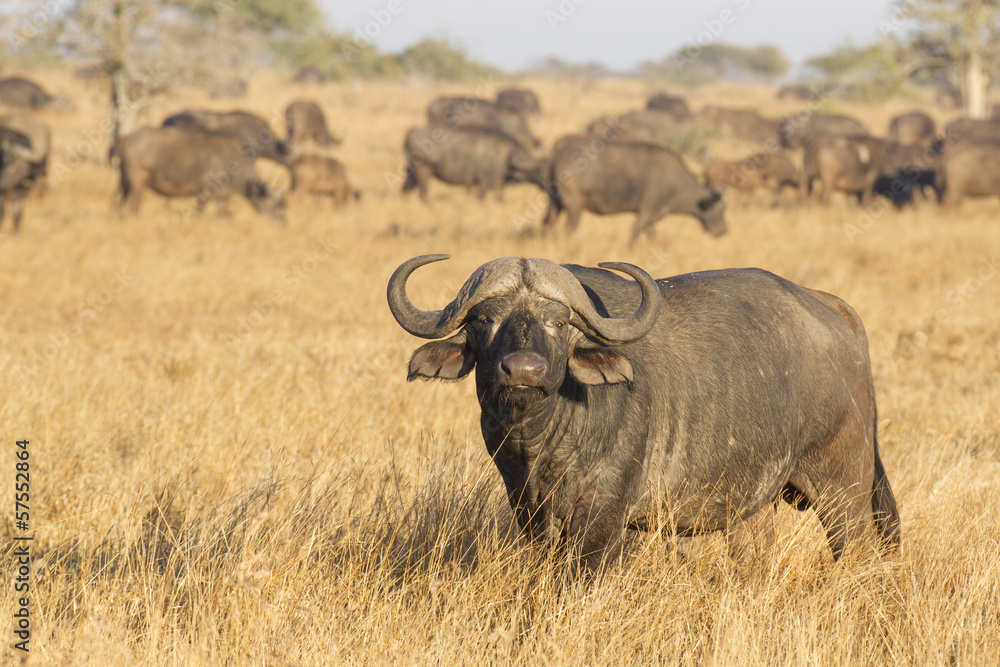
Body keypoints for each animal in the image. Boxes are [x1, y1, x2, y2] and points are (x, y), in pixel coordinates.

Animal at [117, 127, 285, 222]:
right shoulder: (204, 192)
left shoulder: (223, 197)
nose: (283, 223)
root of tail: (126, 138)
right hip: (137, 183)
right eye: (276, 205)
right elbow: (198, 211)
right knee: (135, 204)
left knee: (117, 200)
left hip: (124, 181)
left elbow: (224, 214)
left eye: (282, 205)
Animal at [388, 255, 901, 567]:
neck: (541, 443)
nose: (523, 370)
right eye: (483, 319)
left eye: (559, 323)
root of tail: (833, 309)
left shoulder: (604, 514)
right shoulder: (529, 511)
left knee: (857, 550)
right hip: (753, 503)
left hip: (844, 490)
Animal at [544, 135, 725, 245]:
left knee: (548, 223)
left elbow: (651, 234)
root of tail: (558, 156)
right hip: (574, 206)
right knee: (569, 229)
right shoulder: (646, 211)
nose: (723, 230)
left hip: (556, 204)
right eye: (720, 209)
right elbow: (635, 233)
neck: (675, 184)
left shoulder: (652, 217)